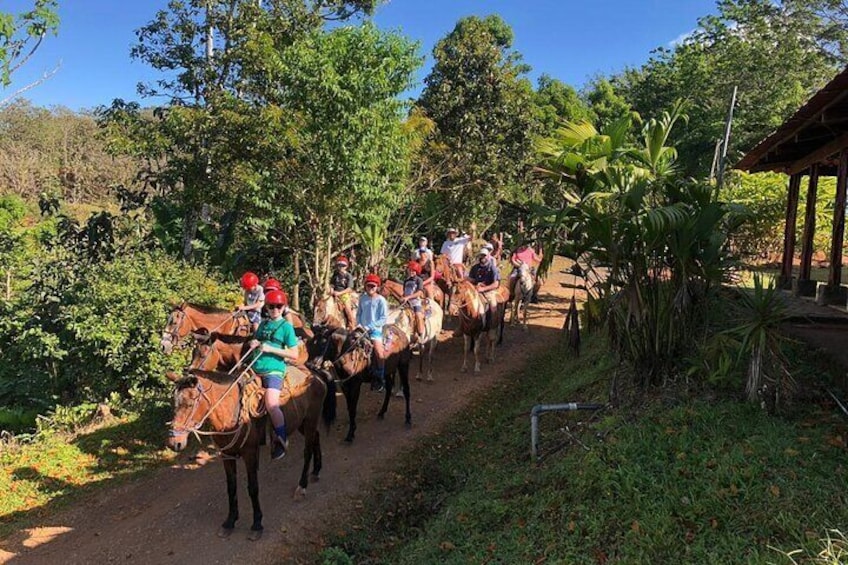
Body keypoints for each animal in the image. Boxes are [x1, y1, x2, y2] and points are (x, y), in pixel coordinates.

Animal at [167, 364, 332, 540]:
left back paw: (302, 487)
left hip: (310, 420)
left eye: (189, 404)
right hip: (302, 423)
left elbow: (253, 488)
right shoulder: (227, 455)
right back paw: (316, 471)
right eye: (174, 404)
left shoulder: (250, 453)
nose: (173, 443)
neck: (231, 411)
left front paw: (257, 524)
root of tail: (315, 372)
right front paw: (230, 521)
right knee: (316, 438)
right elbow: (231, 487)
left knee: (307, 451)